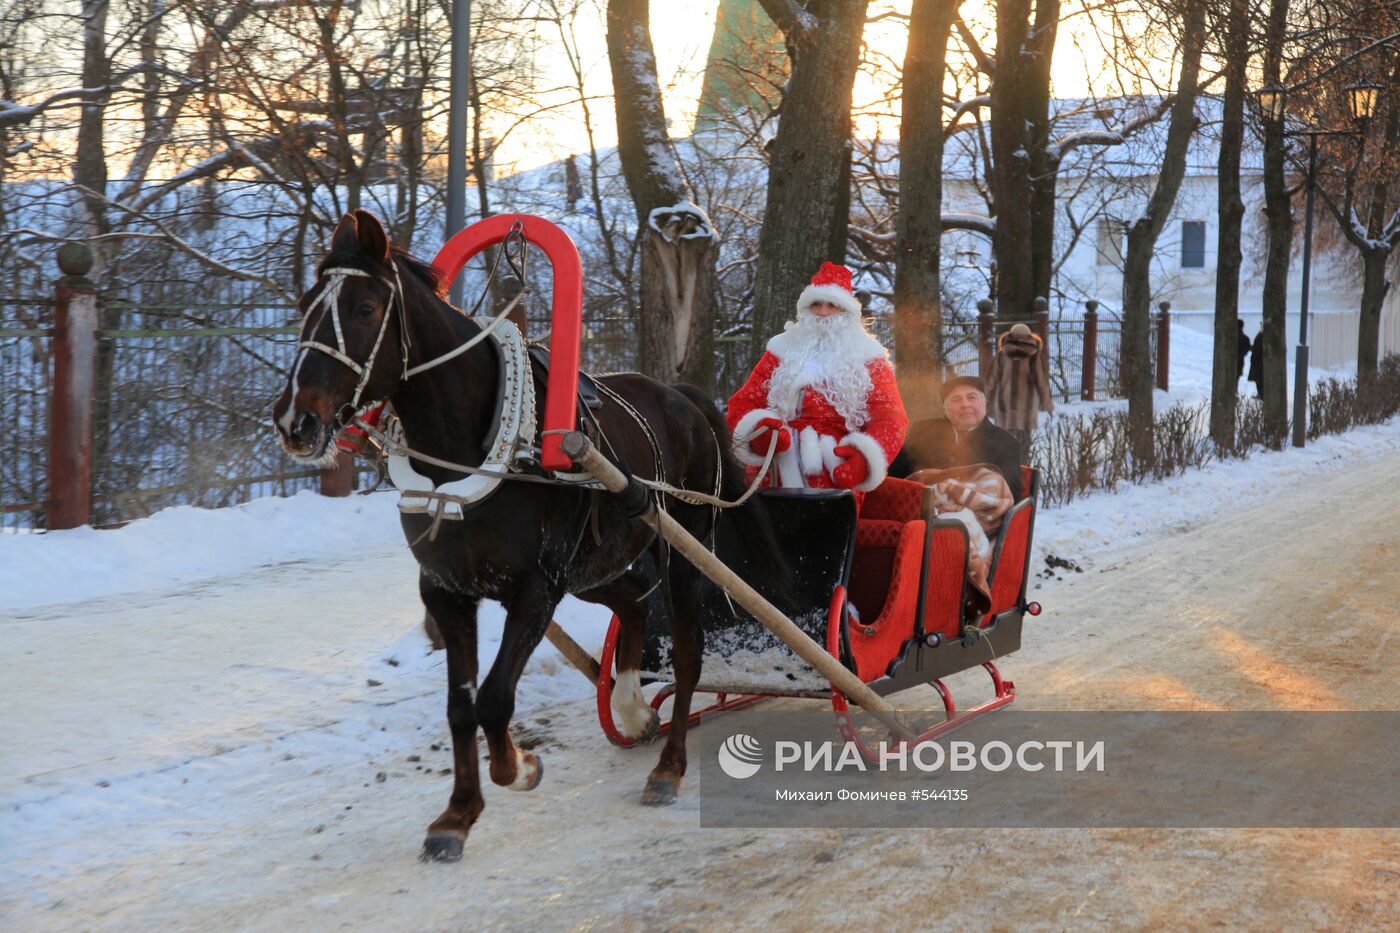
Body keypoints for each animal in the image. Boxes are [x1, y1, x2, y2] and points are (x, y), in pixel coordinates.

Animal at [267, 208, 784, 857]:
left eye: (363, 308)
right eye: (305, 302)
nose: (295, 421)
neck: (470, 453)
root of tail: (685, 398)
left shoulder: (535, 590)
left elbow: (493, 699)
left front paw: (519, 768)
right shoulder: (447, 591)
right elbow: (460, 707)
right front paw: (457, 814)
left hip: (684, 554)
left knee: (689, 655)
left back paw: (667, 766)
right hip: (595, 565)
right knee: (636, 603)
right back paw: (633, 709)